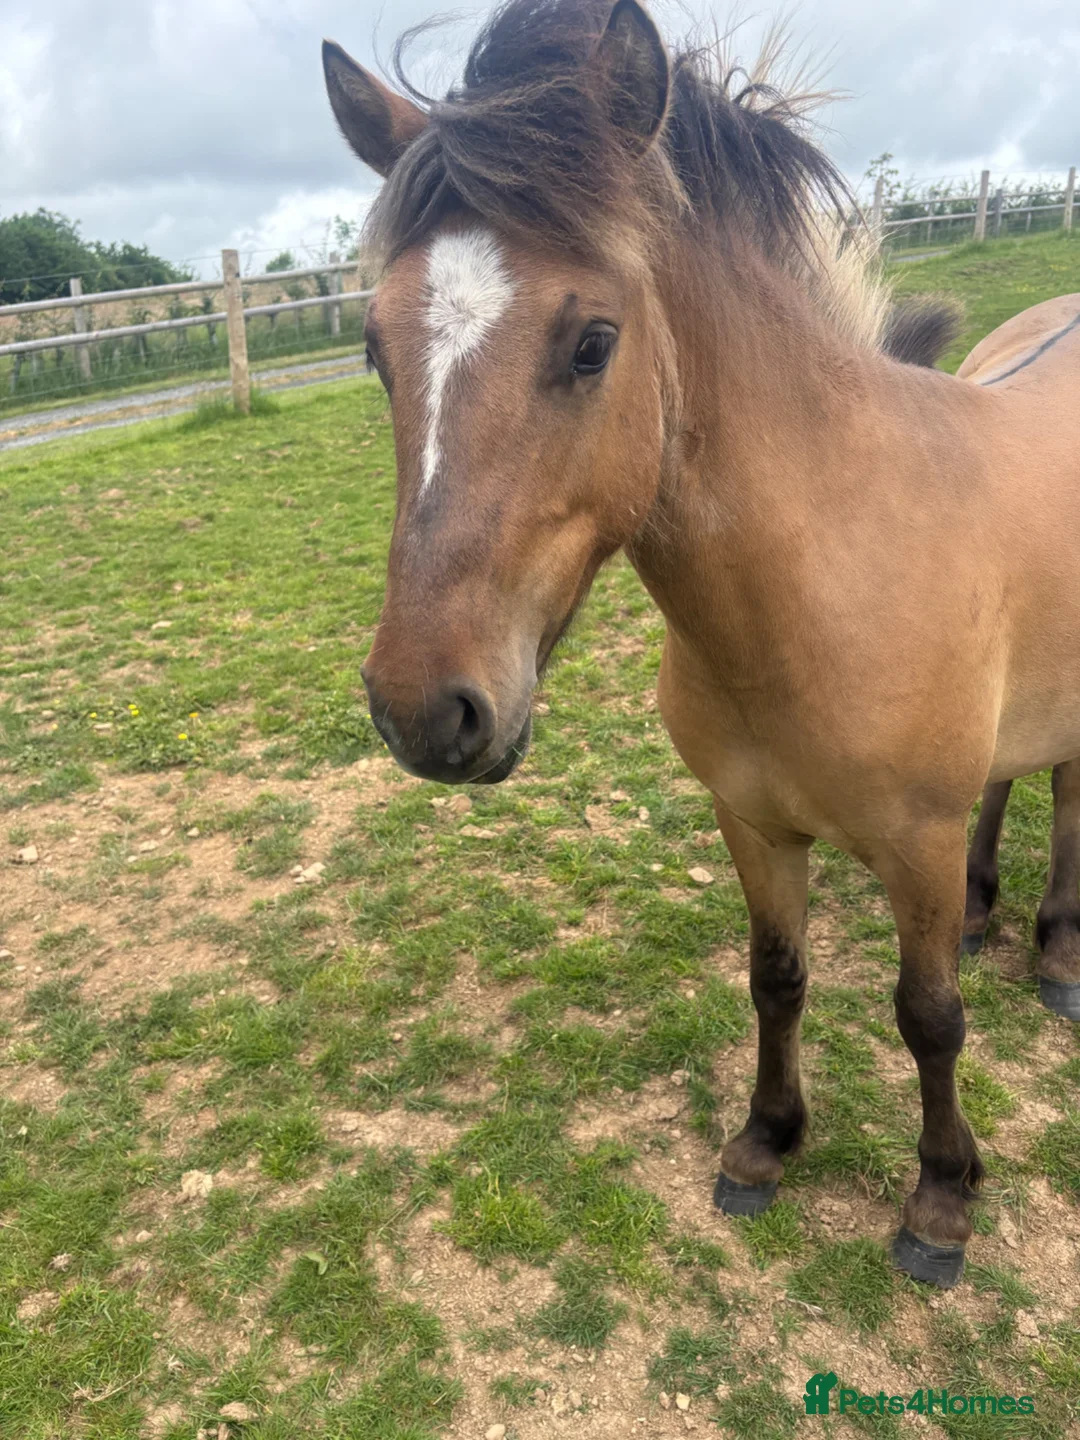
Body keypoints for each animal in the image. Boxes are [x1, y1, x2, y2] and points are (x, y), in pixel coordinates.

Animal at [322, 0, 1080, 1288]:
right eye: (376, 348)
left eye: (592, 342)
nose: (425, 710)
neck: (822, 577)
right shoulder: (753, 823)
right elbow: (777, 979)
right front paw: (765, 1144)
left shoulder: (915, 845)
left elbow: (928, 1017)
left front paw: (940, 1201)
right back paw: (997, 920)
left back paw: (1063, 957)